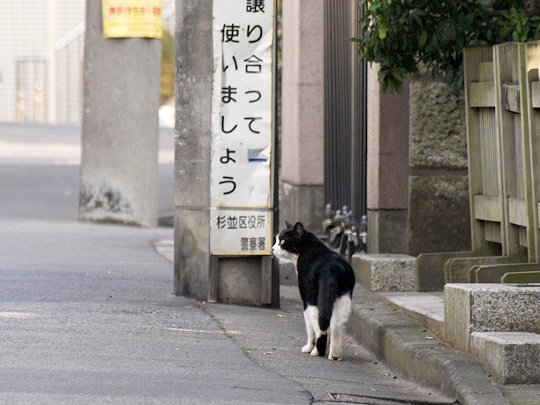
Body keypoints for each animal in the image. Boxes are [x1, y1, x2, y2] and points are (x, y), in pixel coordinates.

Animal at [272, 221, 356, 360]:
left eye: (282, 241)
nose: (273, 249)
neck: (308, 246)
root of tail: (332, 268)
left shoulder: (305, 299)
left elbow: (309, 328)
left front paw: (308, 347)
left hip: (312, 297)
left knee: (320, 326)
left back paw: (317, 351)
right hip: (343, 298)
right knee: (336, 326)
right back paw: (335, 355)